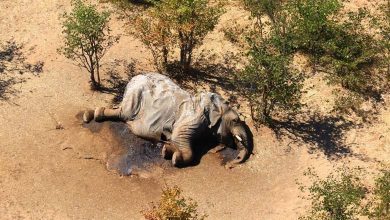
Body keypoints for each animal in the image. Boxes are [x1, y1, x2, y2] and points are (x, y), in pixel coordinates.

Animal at [83, 73, 253, 168]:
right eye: (236, 120)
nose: (231, 165)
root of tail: (133, 78)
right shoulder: (194, 117)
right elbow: (180, 138)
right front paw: (175, 158)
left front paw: (167, 150)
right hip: (136, 93)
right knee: (123, 113)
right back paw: (91, 116)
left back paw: (90, 115)